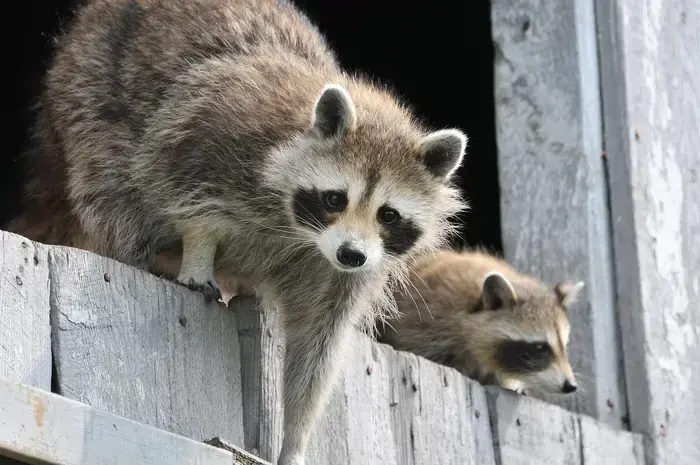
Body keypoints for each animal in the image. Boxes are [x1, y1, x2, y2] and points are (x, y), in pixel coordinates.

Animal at [11, 1, 468, 464]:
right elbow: (185, 191)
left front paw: (296, 437)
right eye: (334, 199)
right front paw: (197, 252)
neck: (300, 232)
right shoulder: (216, 132)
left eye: (388, 215)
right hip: (87, 88)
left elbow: (317, 347)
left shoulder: (341, 273)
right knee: (110, 183)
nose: (351, 254)